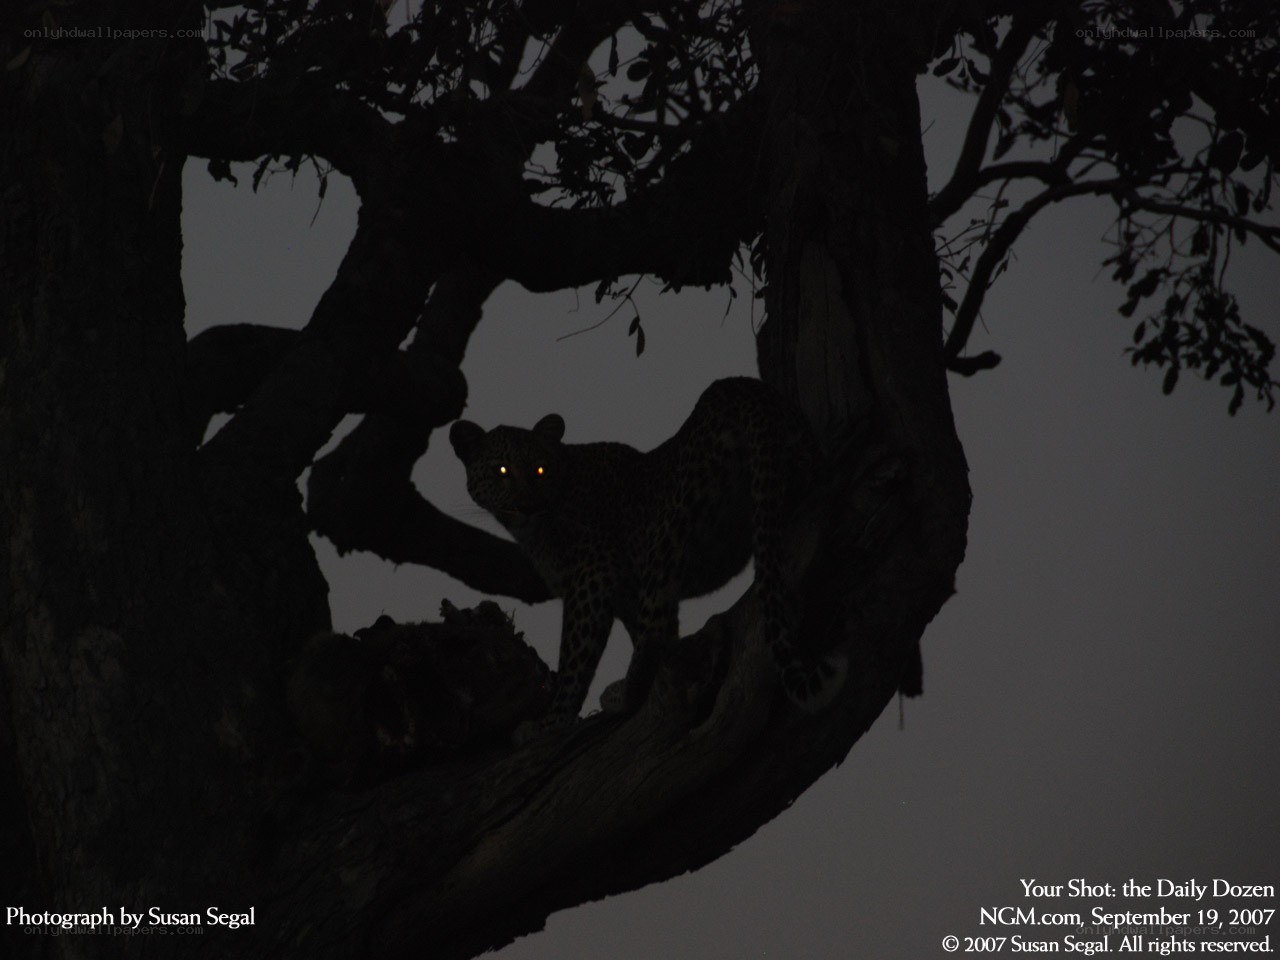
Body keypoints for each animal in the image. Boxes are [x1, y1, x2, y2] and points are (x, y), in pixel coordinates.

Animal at [449, 376, 848, 742]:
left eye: (540, 470)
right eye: (502, 471)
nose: (526, 506)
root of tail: (742, 388)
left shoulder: (592, 577)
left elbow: (576, 658)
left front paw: (550, 724)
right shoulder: (623, 594)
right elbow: (652, 633)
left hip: (673, 526)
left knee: (651, 634)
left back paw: (619, 695)